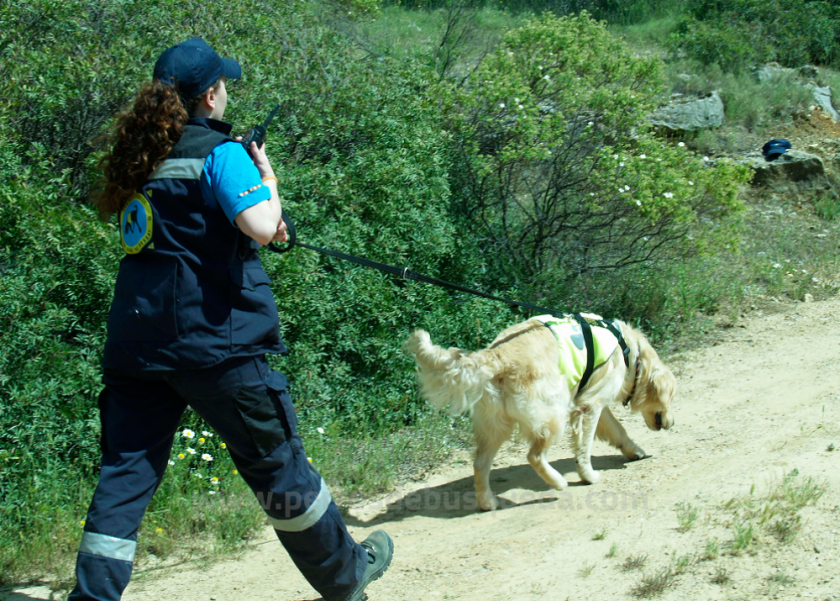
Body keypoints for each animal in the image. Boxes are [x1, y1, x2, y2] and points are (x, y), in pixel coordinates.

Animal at [402, 314, 676, 510]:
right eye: (671, 398)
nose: (672, 423)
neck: (630, 353)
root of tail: (494, 355)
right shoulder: (590, 405)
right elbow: (584, 446)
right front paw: (588, 475)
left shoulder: (593, 401)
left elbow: (618, 430)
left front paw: (634, 450)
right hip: (554, 413)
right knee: (534, 455)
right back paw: (558, 482)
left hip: (495, 425)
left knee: (480, 463)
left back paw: (487, 502)